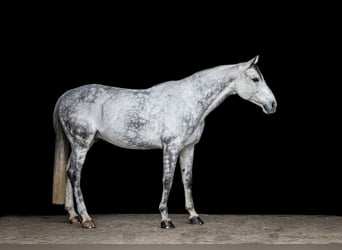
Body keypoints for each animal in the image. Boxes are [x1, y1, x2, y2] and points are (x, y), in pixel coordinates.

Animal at [52, 55, 276, 229]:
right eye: (255, 79)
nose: (273, 104)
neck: (188, 100)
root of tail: (65, 97)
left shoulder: (188, 148)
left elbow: (187, 180)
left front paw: (194, 216)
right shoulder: (171, 147)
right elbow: (167, 180)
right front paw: (165, 219)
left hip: (83, 144)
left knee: (68, 172)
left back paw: (73, 216)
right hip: (82, 143)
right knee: (74, 174)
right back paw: (86, 219)